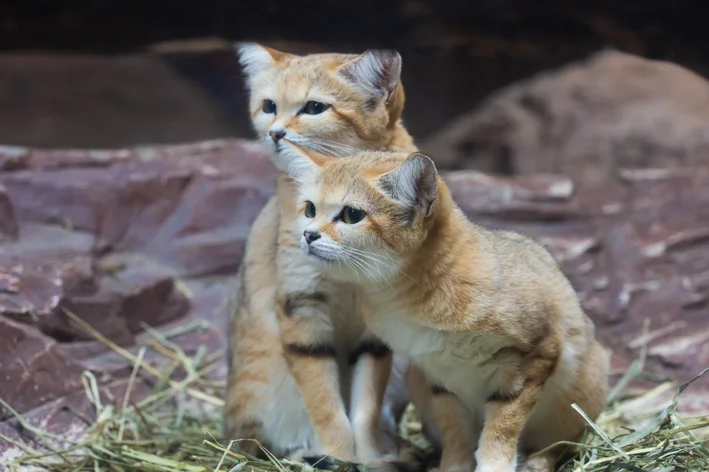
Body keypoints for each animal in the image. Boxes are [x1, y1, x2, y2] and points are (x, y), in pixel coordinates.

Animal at [225, 42, 454, 470]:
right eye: (268, 106)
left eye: (314, 107)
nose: (275, 133)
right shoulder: (302, 308)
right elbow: (326, 405)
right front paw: (341, 455)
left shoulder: (376, 331)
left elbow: (364, 406)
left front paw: (369, 456)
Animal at [276, 145, 608, 472]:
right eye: (310, 209)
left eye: (352, 214)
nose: (308, 234)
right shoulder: (440, 375)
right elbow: (455, 429)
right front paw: (453, 466)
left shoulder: (536, 355)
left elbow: (500, 429)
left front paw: (493, 466)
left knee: (563, 444)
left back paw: (538, 461)